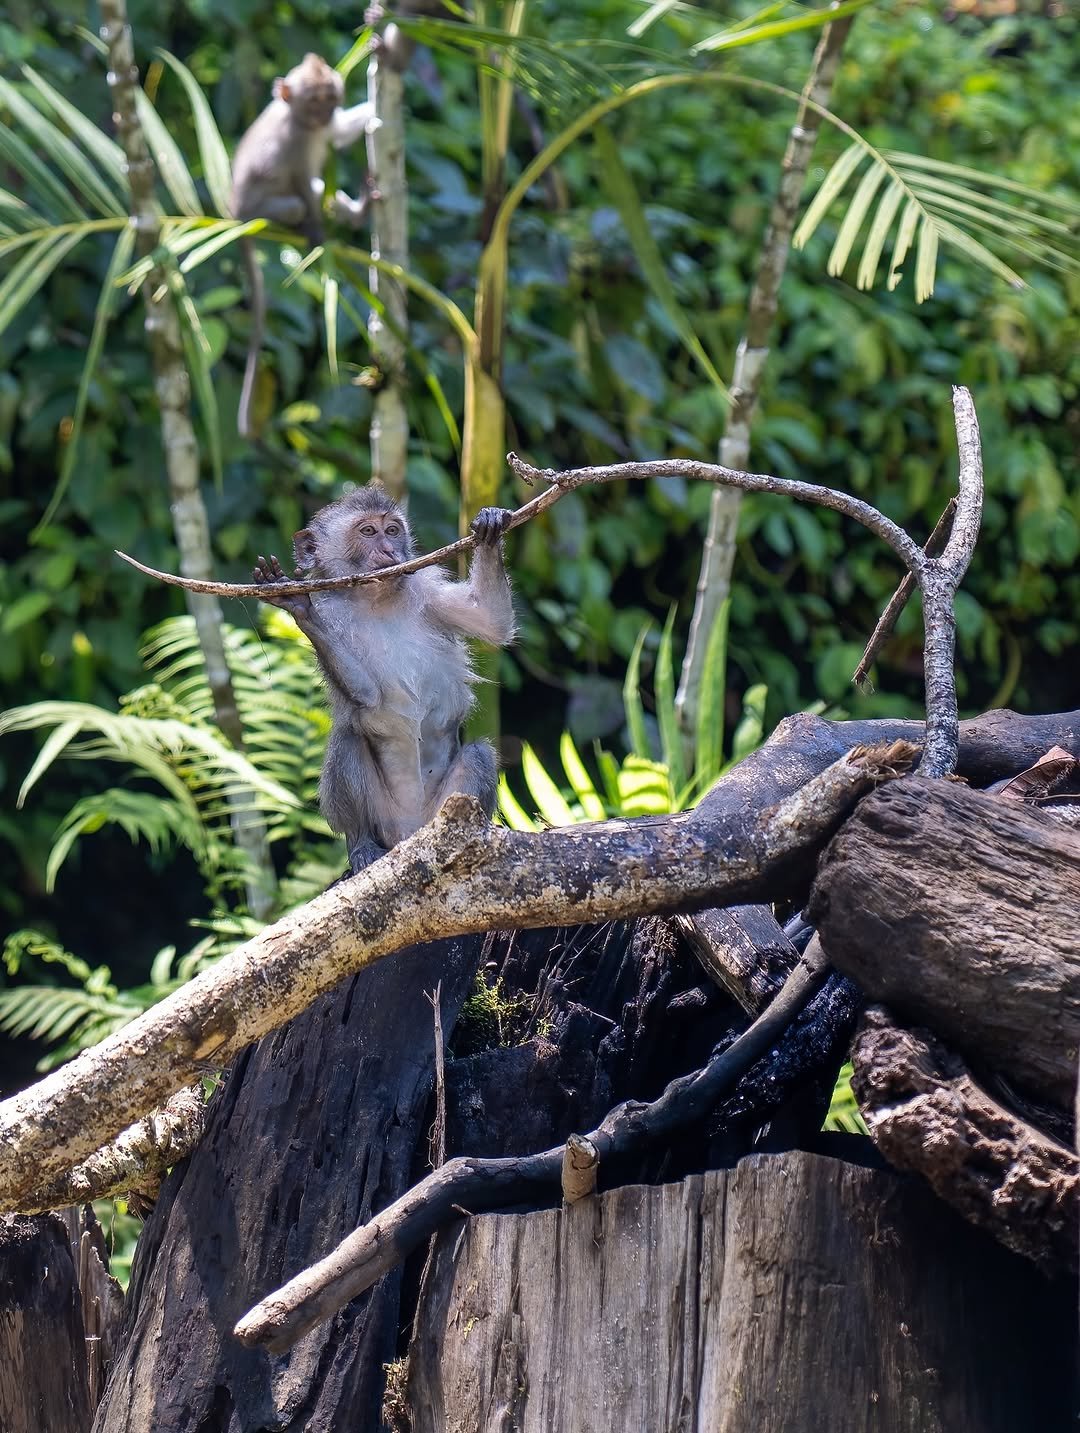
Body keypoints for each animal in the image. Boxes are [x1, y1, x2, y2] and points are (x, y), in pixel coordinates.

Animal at [230, 53, 380, 438]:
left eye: (331, 99)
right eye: (313, 102)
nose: (323, 114)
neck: (302, 123)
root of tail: (233, 213)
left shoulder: (323, 131)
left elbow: (339, 134)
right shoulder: (295, 142)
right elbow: (301, 185)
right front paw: (316, 232)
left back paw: (358, 214)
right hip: (259, 212)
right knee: (300, 201)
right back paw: (302, 225)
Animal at [251, 485, 515, 872]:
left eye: (392, 531)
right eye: (367, 532)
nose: (390, 550)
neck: (375, 597)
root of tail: (407, 834)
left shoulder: (428, 591)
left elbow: (491, 622)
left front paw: (490, 527)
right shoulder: (333, 613)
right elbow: (367, 695)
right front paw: (299, 606)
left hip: (441, 809)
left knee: (478, 753)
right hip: (383, 818)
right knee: (348, 739)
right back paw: (361, 844)